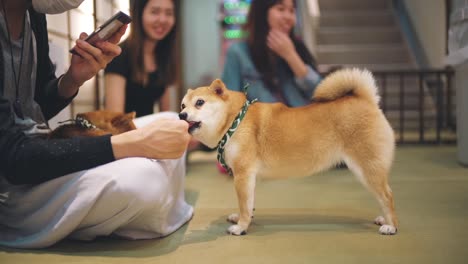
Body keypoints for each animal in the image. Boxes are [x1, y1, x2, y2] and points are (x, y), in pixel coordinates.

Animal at [179, 67, 398, 235]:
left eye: (199, 103)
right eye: (182, 105)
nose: (181, 115)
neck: (234, 120)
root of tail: (367, 100)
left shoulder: (242, 174)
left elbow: (244, 203)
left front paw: (241, 227)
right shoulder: (250, 177)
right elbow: (249, 203)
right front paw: (243, 219)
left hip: (367, 168)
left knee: (387, 196)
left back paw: (391, 226)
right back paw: (383, 219)